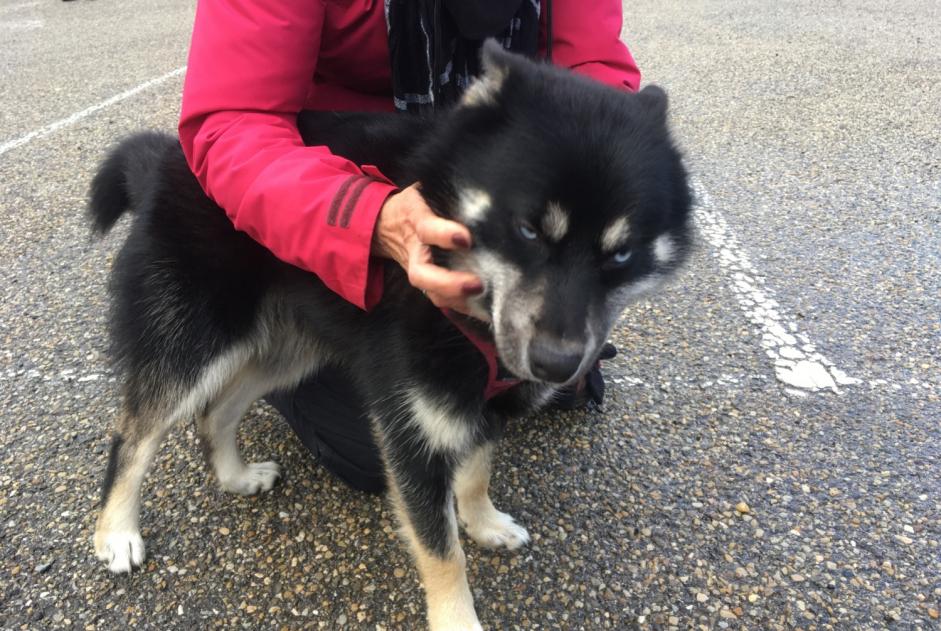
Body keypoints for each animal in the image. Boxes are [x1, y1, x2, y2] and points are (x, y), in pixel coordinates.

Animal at [88, 42, 692, 628]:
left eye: (621, 253)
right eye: (527, 230)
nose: (557, 364)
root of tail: (167, 157)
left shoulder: (477, 405)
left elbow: (475, 474)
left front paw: (484, 523)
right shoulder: (412, 432)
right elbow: (443, 553)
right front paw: (458, 617)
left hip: (287, 347)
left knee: (215, 411)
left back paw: (236, 477)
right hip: (192, 342)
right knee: (134, 435)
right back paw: (116, 531)